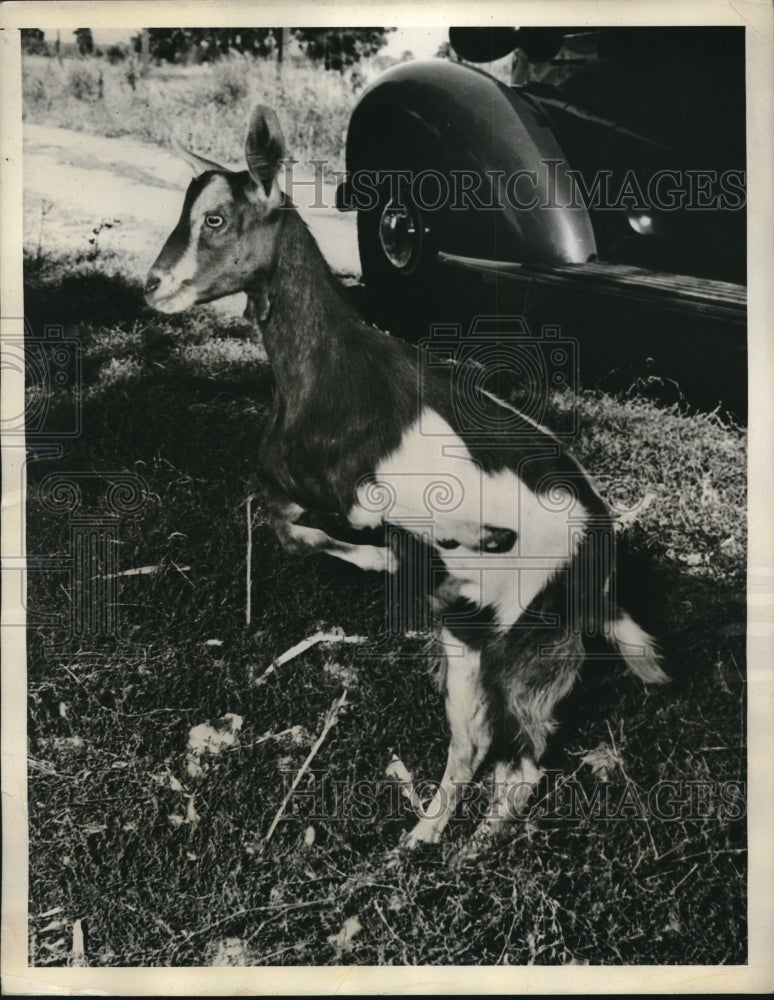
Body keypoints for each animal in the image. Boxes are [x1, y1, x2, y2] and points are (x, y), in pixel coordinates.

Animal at [149, 103, 668, 852]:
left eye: (215, 218)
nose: (152, 287)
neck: (334, 373)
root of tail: (598, 553)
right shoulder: (290, 486)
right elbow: (283, 524)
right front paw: (382, 561)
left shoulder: (366, 497)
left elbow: (346, 520)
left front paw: (412, 550)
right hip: (529, 645)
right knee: (513, 752)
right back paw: (450, 843)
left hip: (497, 631)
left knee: (490, 747)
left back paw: (430, 845)